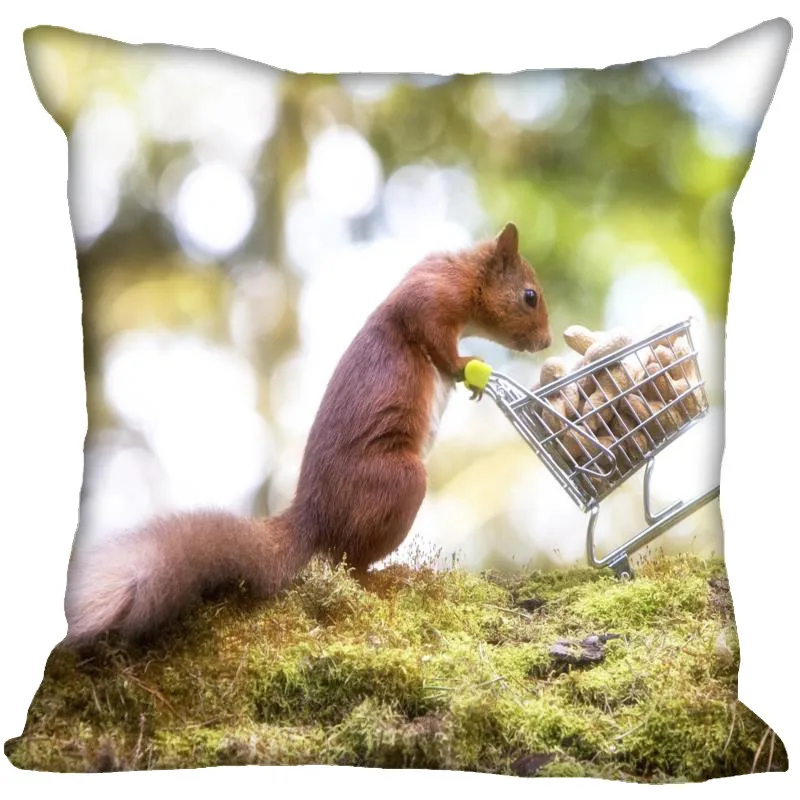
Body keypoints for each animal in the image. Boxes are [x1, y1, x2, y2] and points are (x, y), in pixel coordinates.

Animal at [63, 222, 551, 646]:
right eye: (530, 296)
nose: (546, 342)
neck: (463, 274)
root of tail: (312, 515)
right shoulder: (429, 299)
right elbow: (435, 342)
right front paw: (470, 369)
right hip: (399, 482)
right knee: (349, 563)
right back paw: (391, 578)